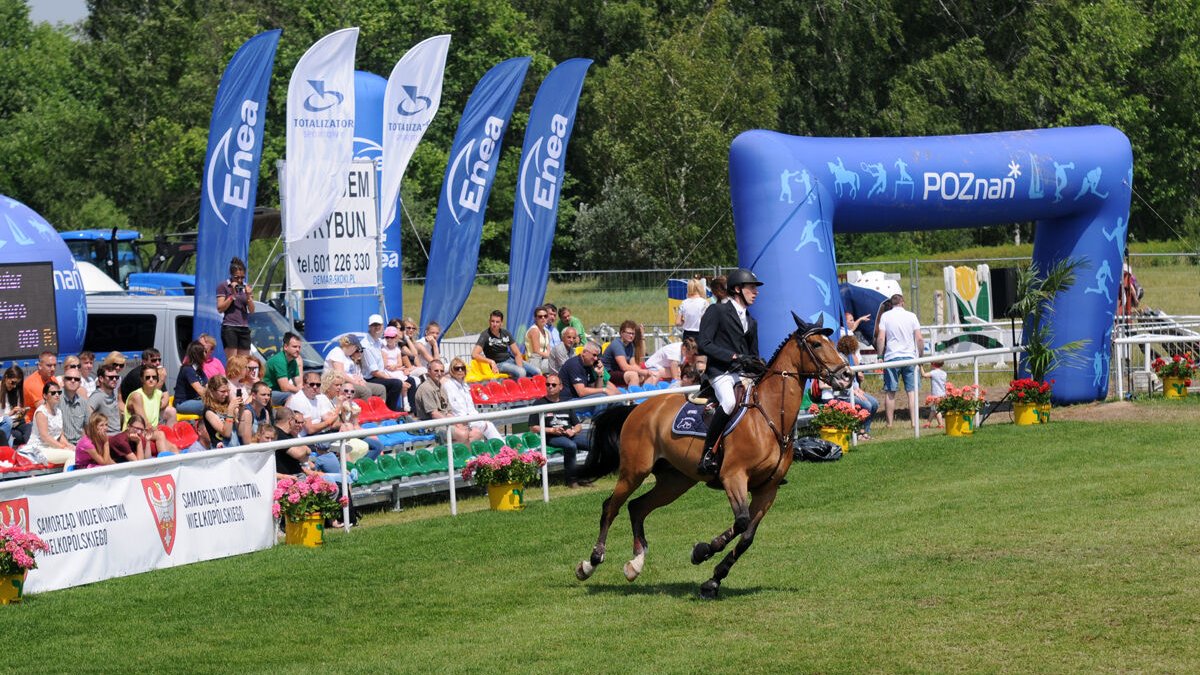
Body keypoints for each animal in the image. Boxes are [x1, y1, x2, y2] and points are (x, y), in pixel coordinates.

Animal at [573, 312, 849, 595]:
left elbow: (747, 536)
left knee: (637, 507)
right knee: (611, 507)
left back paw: (635, 564)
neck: (771, 416)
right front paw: (702, 551)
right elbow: (741, 521)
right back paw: (590, 563)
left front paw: (714, 579)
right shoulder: (733, 477)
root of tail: (639, 408)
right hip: (634, 471)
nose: (846, 374)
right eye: (816, 344)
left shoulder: (767, 490)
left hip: (675, 481)